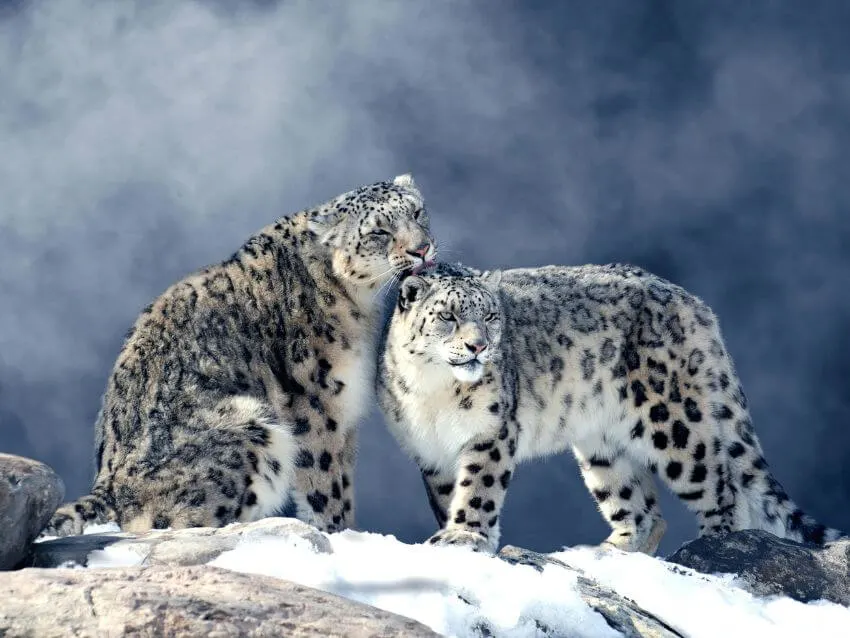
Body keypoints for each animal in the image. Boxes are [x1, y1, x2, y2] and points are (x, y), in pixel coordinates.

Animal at [43, 175, 434, 540]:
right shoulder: (318, 407)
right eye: (378, 231)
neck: (360, 303)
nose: (423, 249)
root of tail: (107, 485)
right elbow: (327, 484)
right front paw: (341, 534)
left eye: (417, 212)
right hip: (250, 428)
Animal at [378, 264, 840, 556]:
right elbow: (448, 495)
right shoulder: (430, 452)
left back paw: (711, 546)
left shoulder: (490, 432)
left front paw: (466, 536)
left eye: (490, 316)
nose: (478, 346)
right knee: (642, 508)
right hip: (602, 446)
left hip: (673, 421)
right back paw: (609, 552)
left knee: (720, 485)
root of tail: (691, 302)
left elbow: (478, 487)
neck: (434, 391)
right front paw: (453, 532)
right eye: (449, 316)